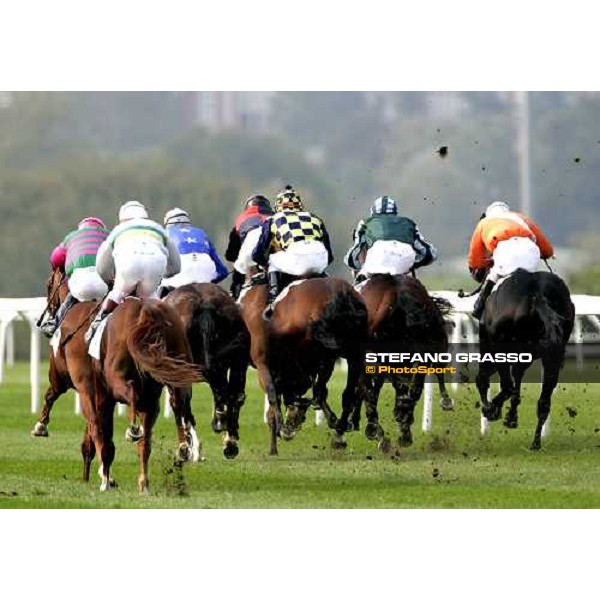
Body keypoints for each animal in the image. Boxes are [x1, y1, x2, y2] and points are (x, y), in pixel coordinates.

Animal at [163, 284, 250, 462]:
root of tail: (205, 306)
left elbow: (180, 404)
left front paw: (187, 446)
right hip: (239, 356)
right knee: (234, 394)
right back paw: (229, 440)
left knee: (179, 402)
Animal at [239, 276, 370, 454]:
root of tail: (340, 294)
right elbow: (314, 391)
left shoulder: (266, 362)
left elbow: (277, 394)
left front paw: (285, 426)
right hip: (351, 353)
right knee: (346, 392)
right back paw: (340, 428)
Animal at [476, 270, 576, 448]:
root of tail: (537, 295)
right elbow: (517, 379)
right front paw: (511, 416)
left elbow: (495, 382)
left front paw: (493, 410)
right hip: (552, 356)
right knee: (544, 401)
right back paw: (535, 442)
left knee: (502, 384)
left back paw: (492, 410)